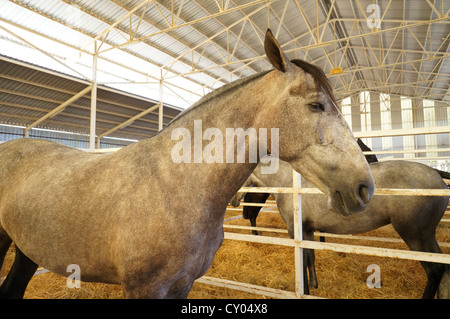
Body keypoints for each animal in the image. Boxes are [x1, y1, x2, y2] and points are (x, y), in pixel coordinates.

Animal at [0, 30, 374, 300]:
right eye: (316, 105)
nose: (364, 188)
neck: (175, 186)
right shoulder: (143, 289)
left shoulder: (182, 285)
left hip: (28, 249)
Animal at [232, 144, 450, 298]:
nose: (234, 202)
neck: (288, 183)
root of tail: (435, 173)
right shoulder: (307, 230)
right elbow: (310, 257)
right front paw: (314, 285)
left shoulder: (296, 231)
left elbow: (302, 261)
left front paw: (306, 290)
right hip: (425, 235)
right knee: (443, 270)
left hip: (415, 235)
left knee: (435, 271)